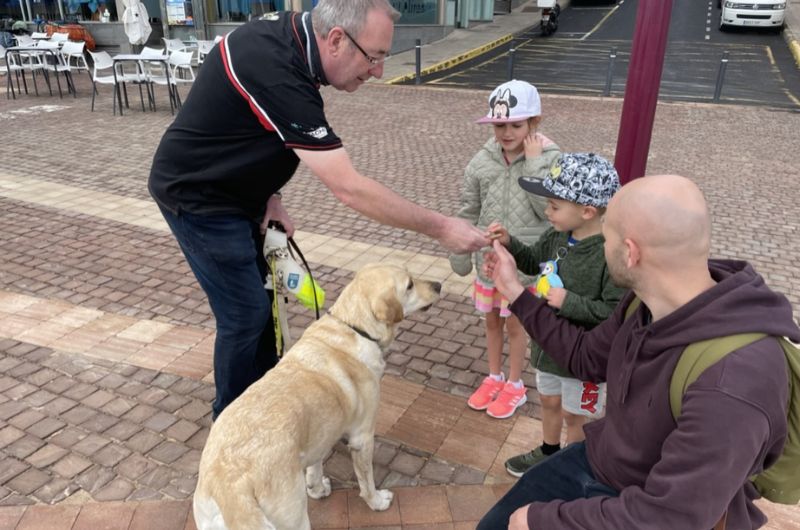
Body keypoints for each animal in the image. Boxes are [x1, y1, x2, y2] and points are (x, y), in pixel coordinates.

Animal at [195, 262, 444, 524]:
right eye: (409, 284)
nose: (439, 285)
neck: (352, 326)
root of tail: (230, 488)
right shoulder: (363, 437)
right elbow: (366, 481)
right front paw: (376, 501)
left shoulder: (319, 436)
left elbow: (315, 466)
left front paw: (317, 489)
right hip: (293, 516)